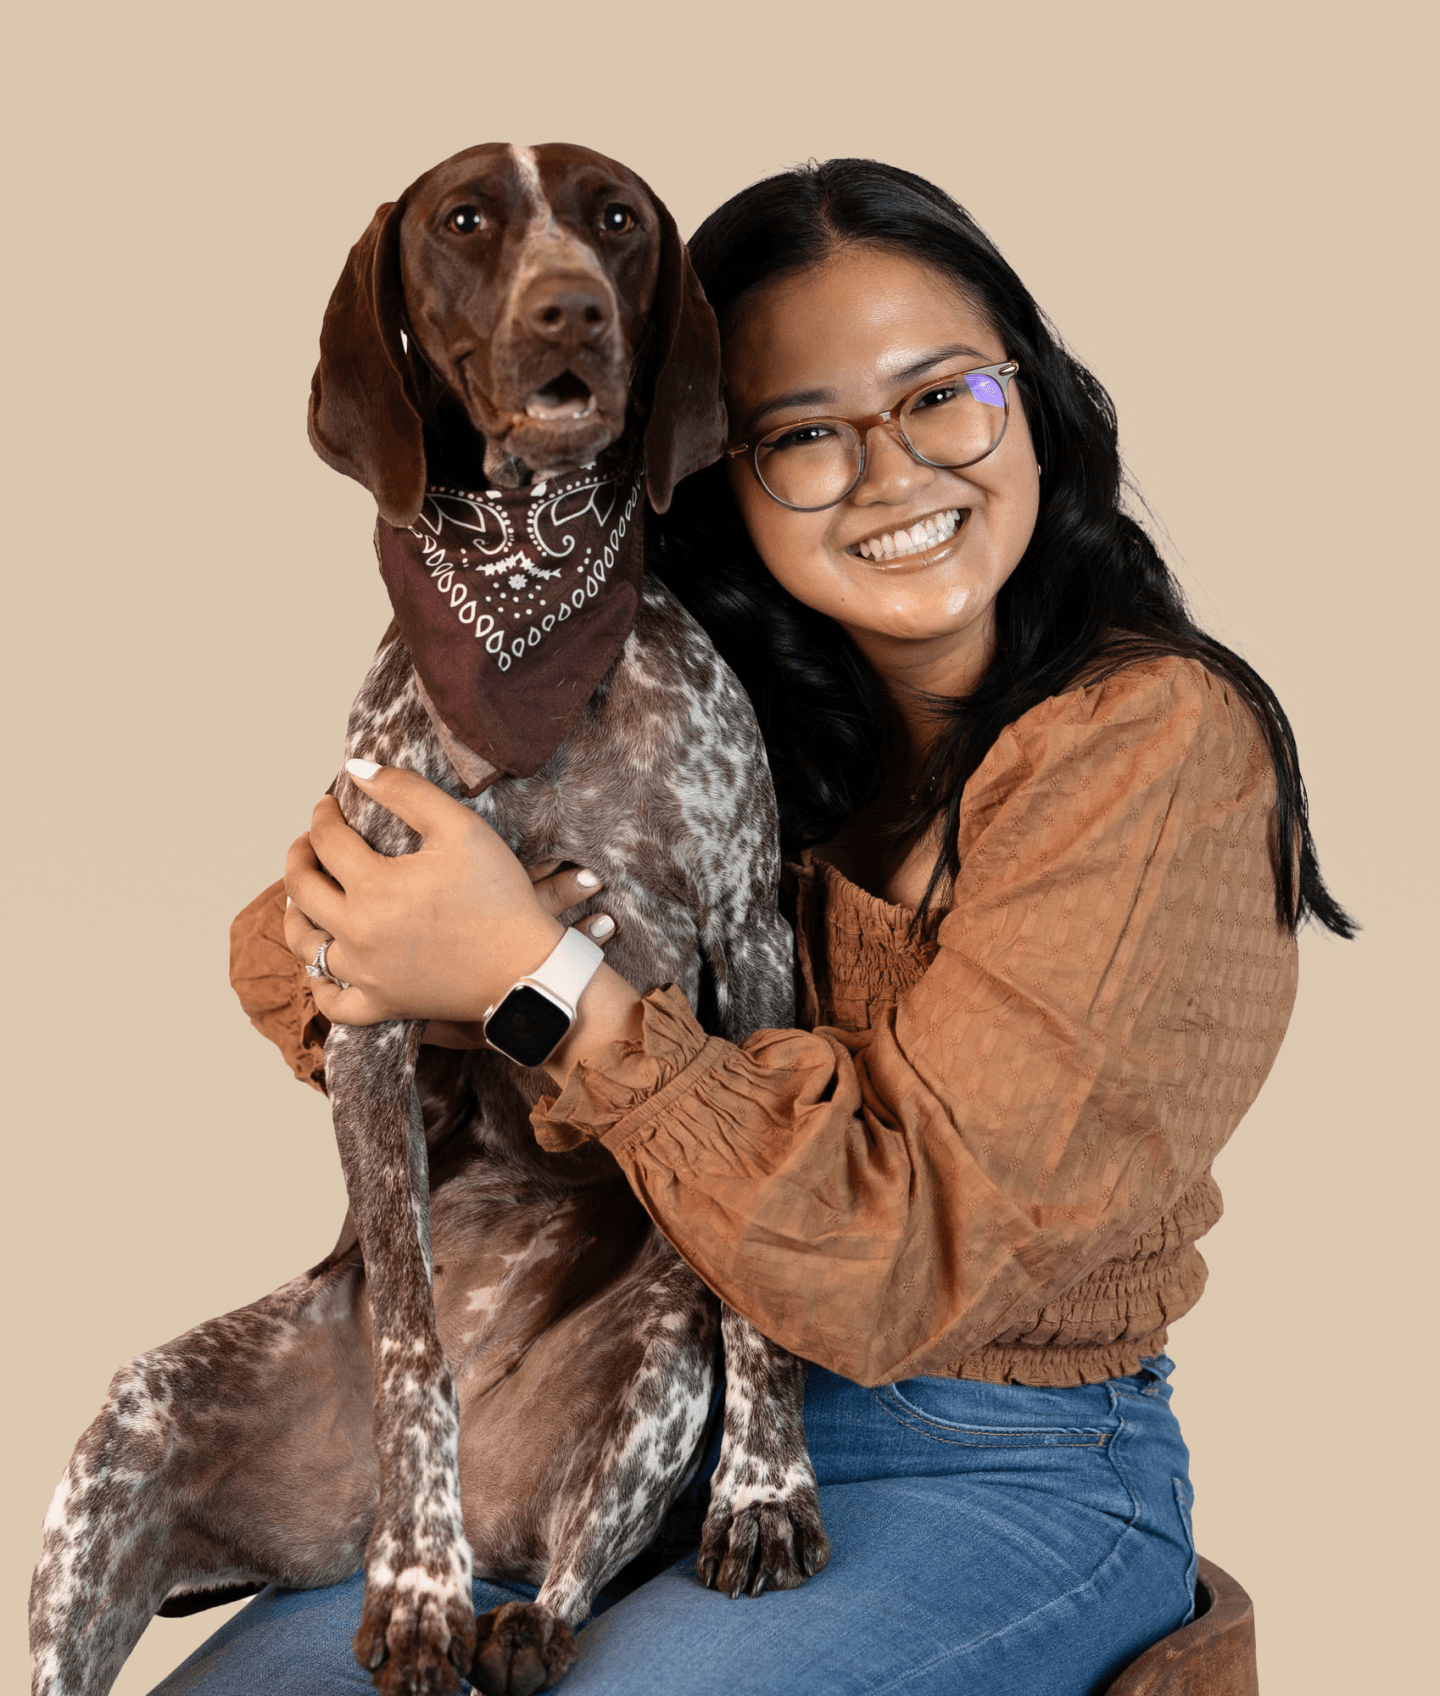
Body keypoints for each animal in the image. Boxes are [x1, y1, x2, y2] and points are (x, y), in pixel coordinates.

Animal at [30, 142, 820, 1696]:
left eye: (616, 219)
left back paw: (519, 1615)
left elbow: (756, 1297)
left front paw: (767, 1491)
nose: (572, 311)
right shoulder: (367, 999)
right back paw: (428, 1564)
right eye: (465, 221)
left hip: (652, 1362)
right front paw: (416, 1582)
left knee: (571, 1577)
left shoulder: (750, 939)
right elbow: (408, 1333)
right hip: (119, 1450)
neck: (528, 611)